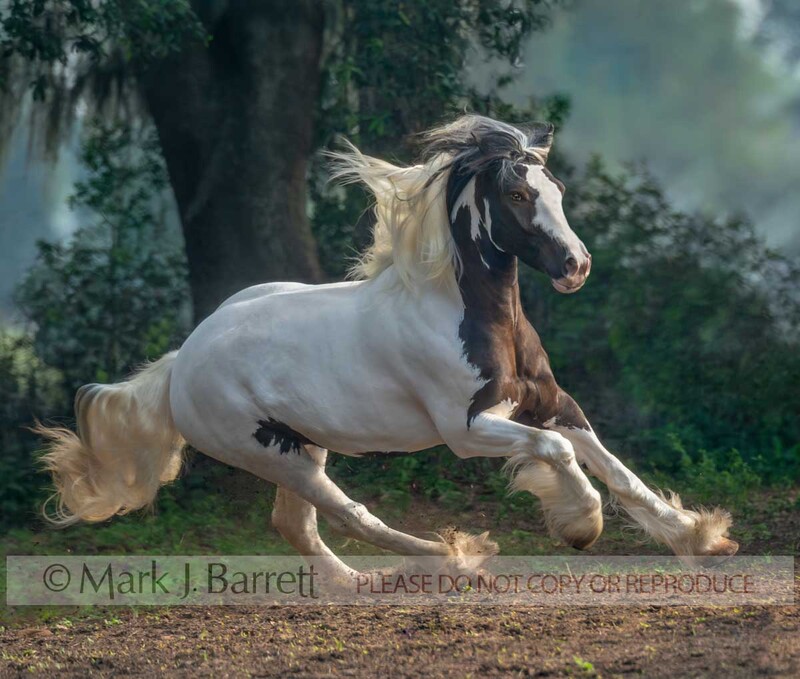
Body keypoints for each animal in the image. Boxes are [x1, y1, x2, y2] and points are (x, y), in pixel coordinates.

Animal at [37, 115, 738, 578]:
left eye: (558, 189)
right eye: (517, 194)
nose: (576, 266)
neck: (471, 317)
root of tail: (184, 359)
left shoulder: (552, 403)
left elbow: (618, 470)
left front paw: (702, 537)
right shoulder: (468, 429)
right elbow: (560, 455)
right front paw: (580, 527)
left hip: (300, 445)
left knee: (295, 527)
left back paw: (361, 586)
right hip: (270, 454)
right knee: (348, 515)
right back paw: (457, 557)